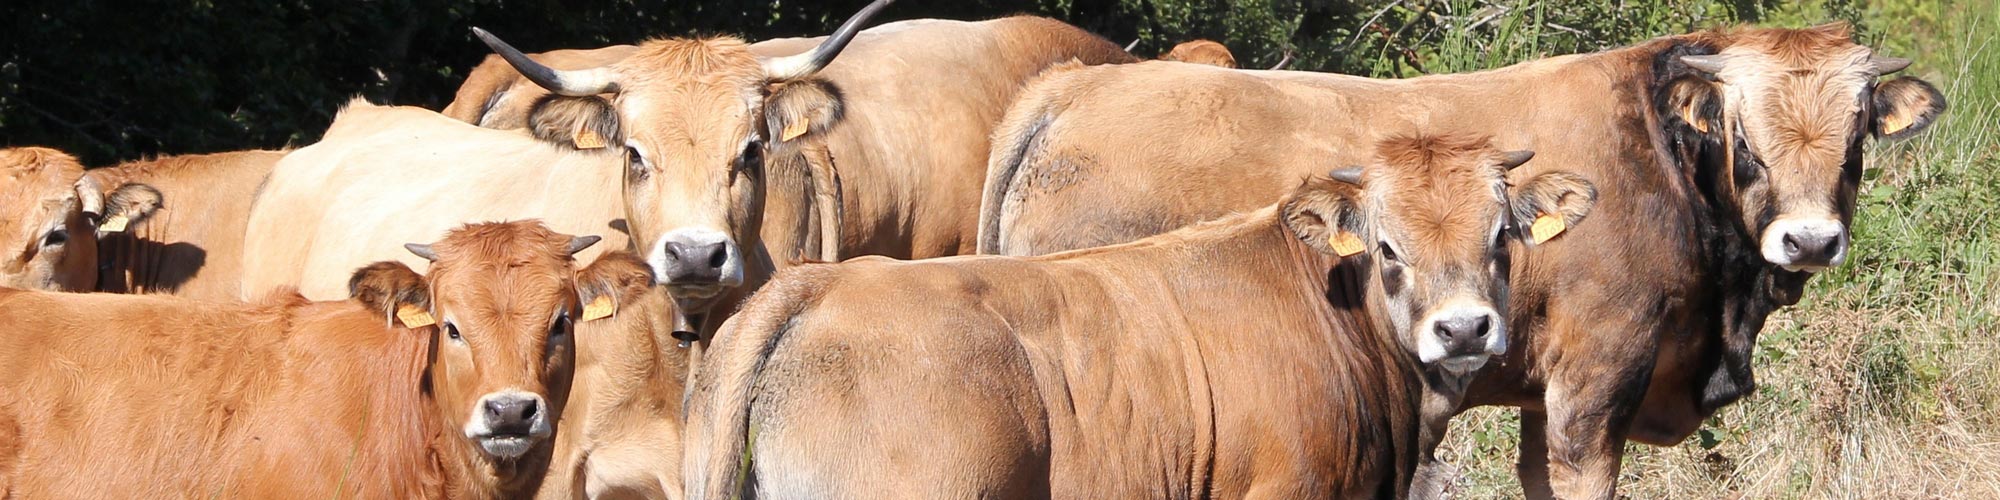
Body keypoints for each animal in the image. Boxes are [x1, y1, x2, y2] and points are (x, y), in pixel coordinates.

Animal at [976, 22, 1944, 496]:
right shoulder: (1595, 387)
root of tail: (1077, 86)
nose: (1810, 239)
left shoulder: (1541, 399)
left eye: (1858, 131)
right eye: (1744, 137)